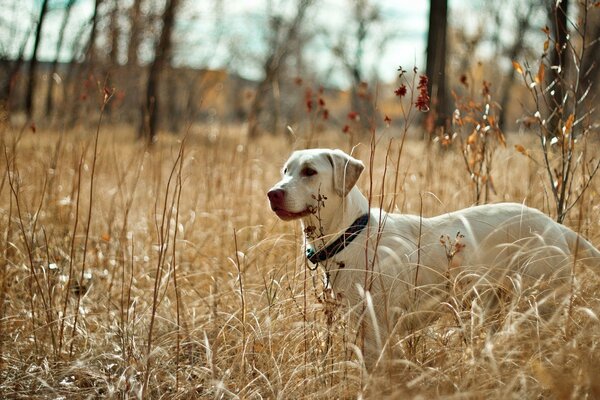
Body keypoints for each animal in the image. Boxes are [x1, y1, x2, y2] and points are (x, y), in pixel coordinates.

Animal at [268, 149, 600, 366]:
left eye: (309, 171)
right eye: (285, 171)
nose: (273, 193)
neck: (353, 233)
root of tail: (556, 226)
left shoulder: (377, 329)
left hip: (538, 307)